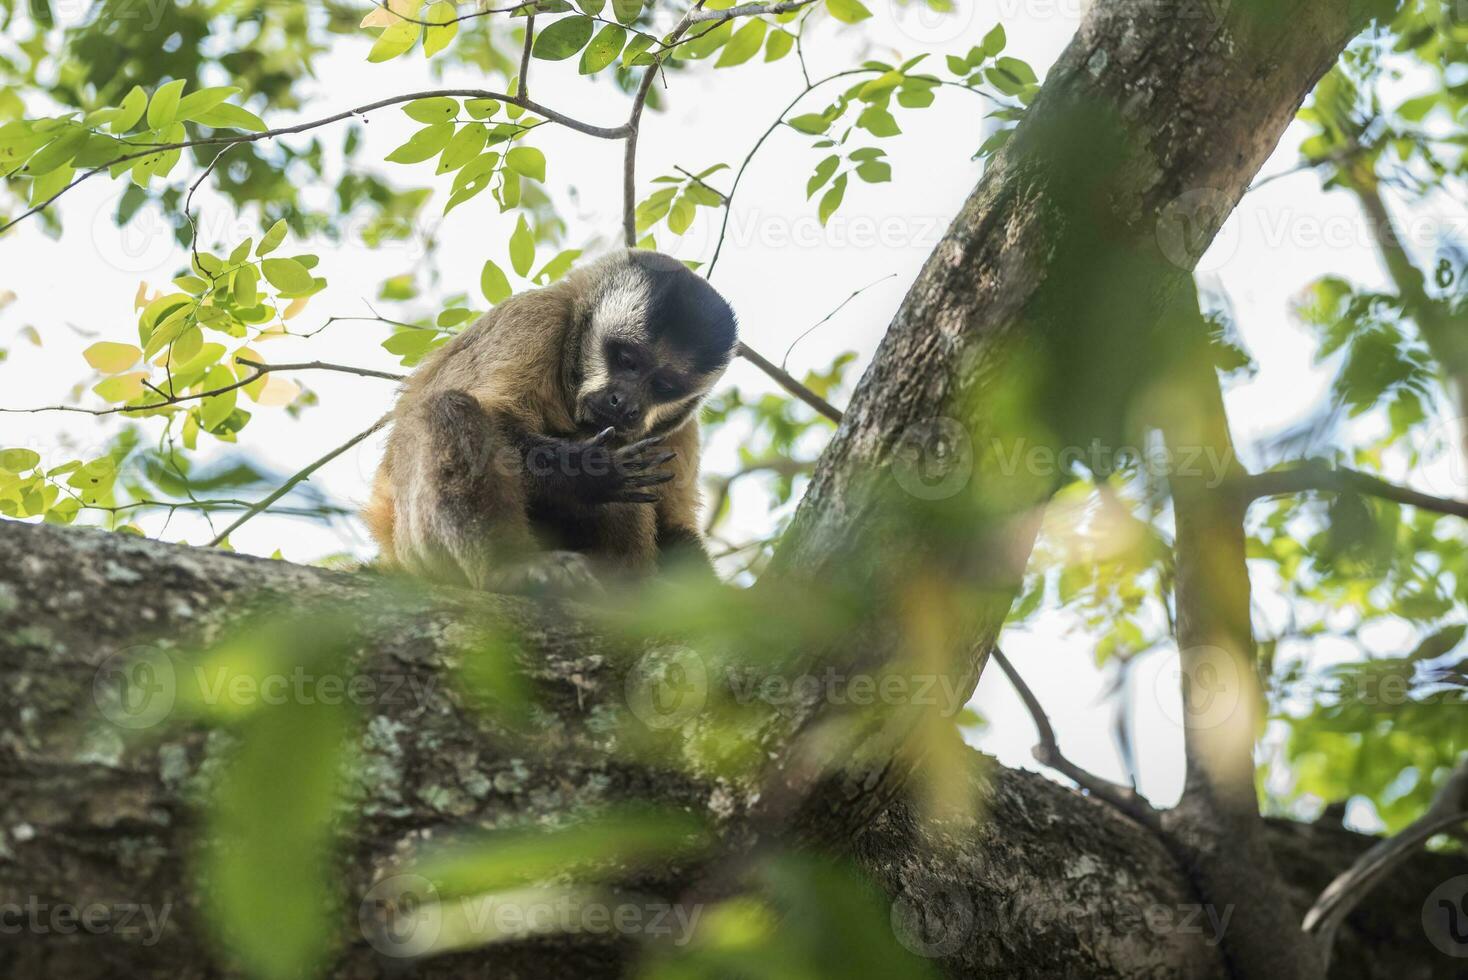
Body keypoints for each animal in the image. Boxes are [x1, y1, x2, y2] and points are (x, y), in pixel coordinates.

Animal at [362, 249, 739, 592]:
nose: (625, 404)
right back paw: (507, 566)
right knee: (448, 409)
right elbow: (495, 415)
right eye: (627, 359)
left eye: (663, 386)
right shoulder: (535, 317)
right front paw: (589, 470)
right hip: (416, 549)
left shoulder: (682, 425)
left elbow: (674, 522)